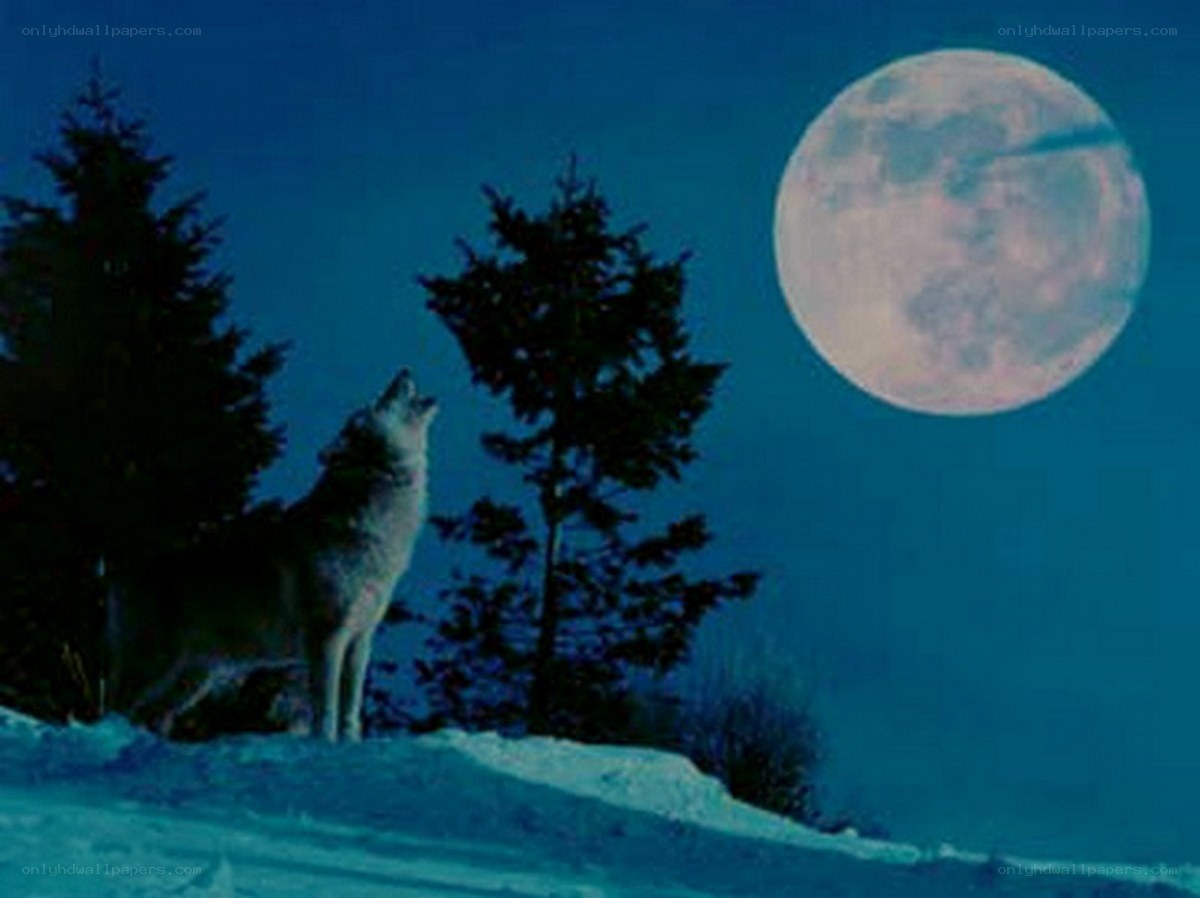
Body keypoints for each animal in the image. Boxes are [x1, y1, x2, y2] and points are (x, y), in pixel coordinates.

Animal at [107, 368, 436, 742]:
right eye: (380, 400)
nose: (404, 370)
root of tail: (120, 567)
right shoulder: (327, 637)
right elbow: (326, 709)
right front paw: (323, 744)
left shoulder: (361, 640)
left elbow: (351, 711)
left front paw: (350, 745)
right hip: (155, 666)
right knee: (113, 706)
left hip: (194, 679)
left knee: (151, 716)